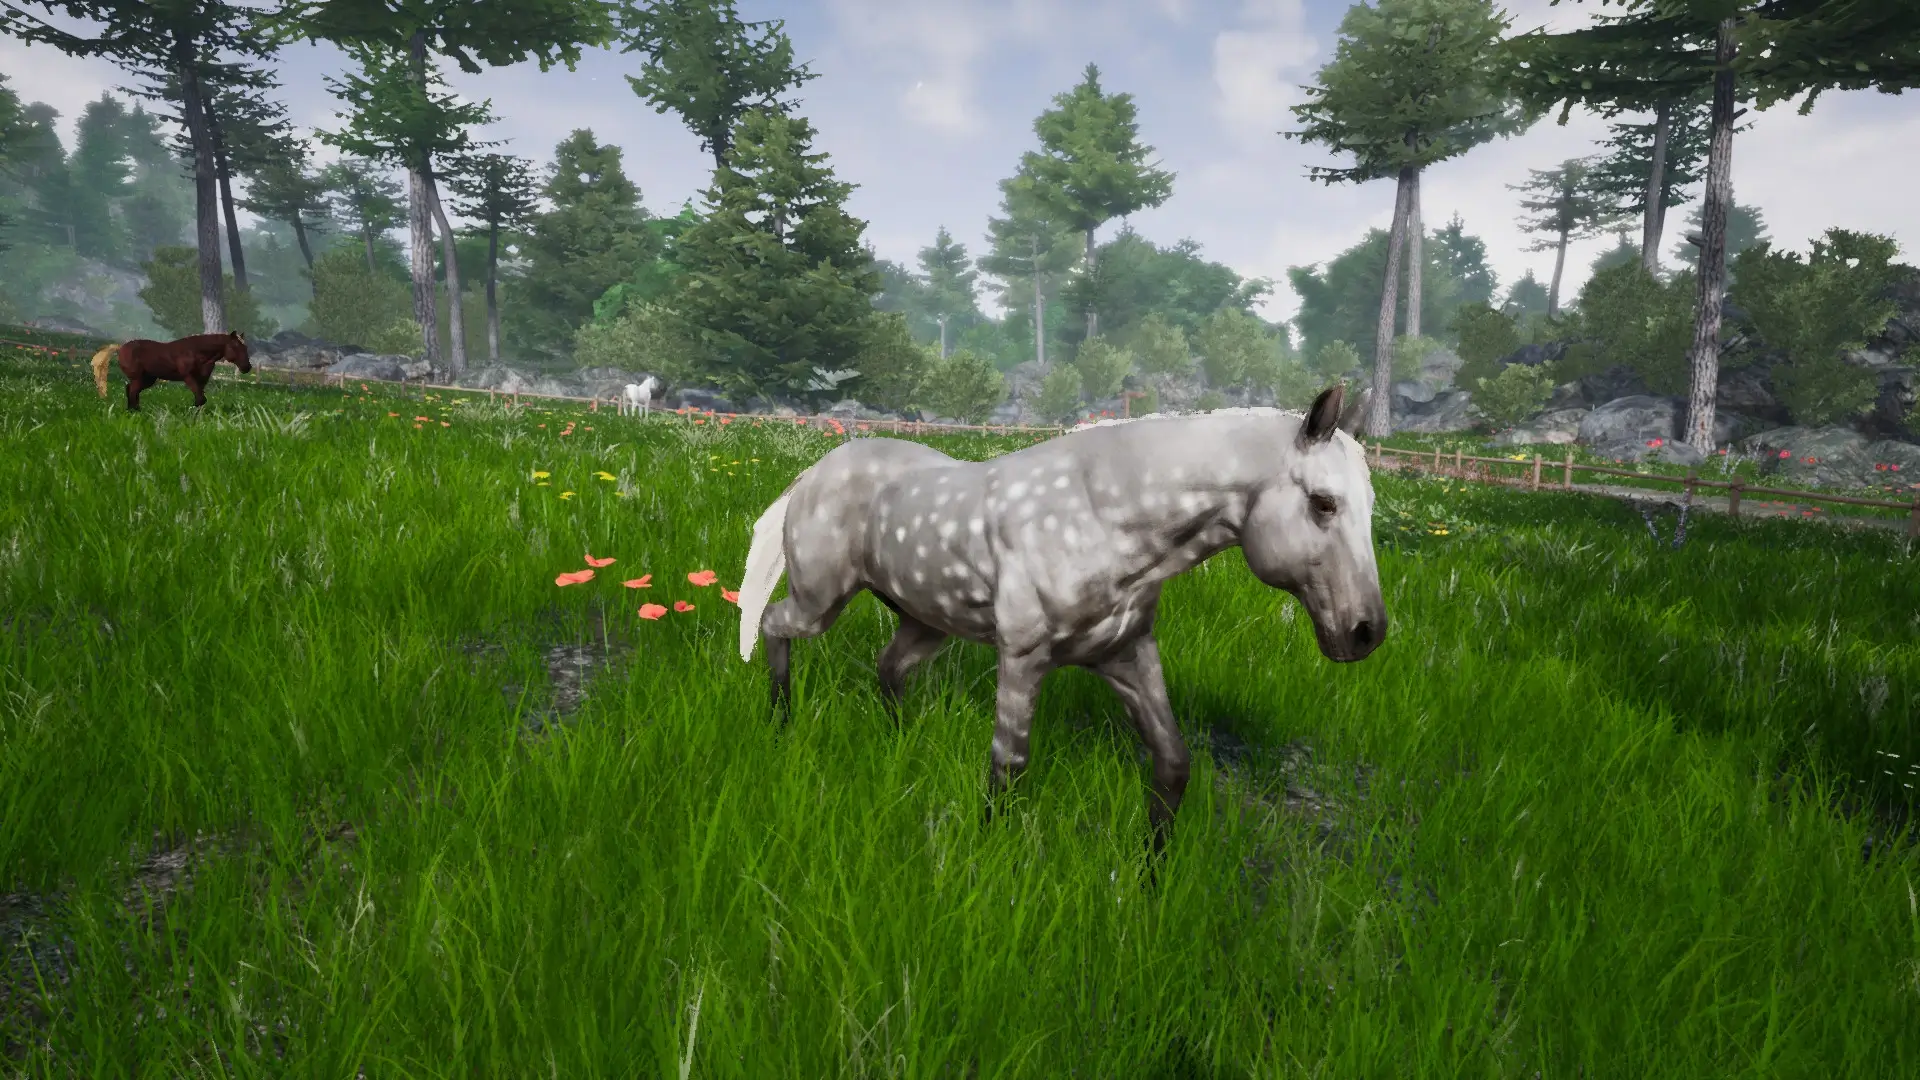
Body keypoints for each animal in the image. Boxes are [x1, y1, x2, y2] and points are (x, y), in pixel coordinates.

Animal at [91, 331, 253, 411]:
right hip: (139, 378)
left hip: (147, 379)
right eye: (235, 346)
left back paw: (134, 410)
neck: (196, 352)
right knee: (132, 391)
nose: (247, 367)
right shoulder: (188, 377)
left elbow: (201, 398)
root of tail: (121, 348)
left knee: (130, 390)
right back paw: (133, 411)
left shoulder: (202, 380)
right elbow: (200, 399)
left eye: (245, 347)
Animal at [735, 383, 1388, 858]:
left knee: (889, 669)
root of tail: (812, 473)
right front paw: (990, 854)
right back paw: (779, 722)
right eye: (1323, 503)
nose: (1366, 633)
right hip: (820, 601)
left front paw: (1151, 876)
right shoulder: (1023, 657)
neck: (1104, 515)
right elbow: (1009, 765)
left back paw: (898, 743)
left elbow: (1174, 765)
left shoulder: (1127, 655)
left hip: (926, 622)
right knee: (771, 624)